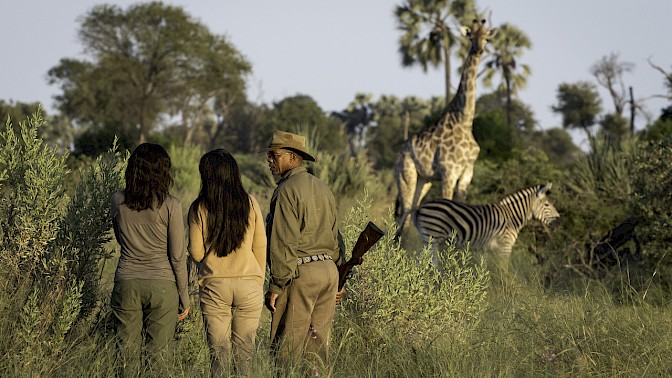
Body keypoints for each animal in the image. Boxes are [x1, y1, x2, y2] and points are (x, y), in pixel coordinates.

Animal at [392, 19, 496, 238]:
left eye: (487, 38)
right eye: (471, 36)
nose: (479, 50)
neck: (465, 120)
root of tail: (398, 153)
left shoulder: (466, 174)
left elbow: (462, 207)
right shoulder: (449, 172)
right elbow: (449, 208)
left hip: (425, 180)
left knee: (409, 213)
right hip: (406, 175)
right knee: (404, 213)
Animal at [412, 183, 560, 266]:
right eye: (547, 205)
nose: (558, 220)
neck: (511, 217)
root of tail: (422, 206)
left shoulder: (491, 250)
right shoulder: (505, 246)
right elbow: (504, 270)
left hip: (429, 240)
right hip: (432, 237)